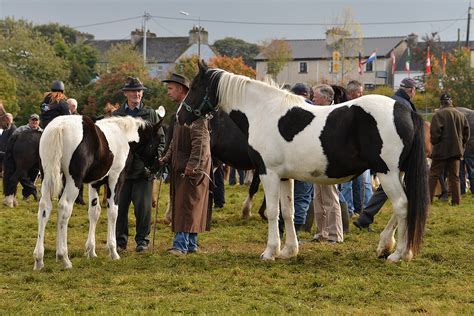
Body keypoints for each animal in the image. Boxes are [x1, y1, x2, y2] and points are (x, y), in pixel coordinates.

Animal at [33, 115, 163, 270]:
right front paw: (113, 252)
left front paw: (91, 251)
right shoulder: (116, 179)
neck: (123, 135)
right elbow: (113, 212)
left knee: (44, 208)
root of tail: (60, 126)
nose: (157, 166)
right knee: (64, 208)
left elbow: (94, 212)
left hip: (47, 177)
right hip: (73, 181)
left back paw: (39, 259)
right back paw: (64, 257)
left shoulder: (94, 184)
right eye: (158, 140)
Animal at [177, 61, 430, 262]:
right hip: (397, 173)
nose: (180, 115)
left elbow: (272, 211)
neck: (263, 111)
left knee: (402, 206)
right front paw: (289, 250)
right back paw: (388, 247)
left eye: (195, 87)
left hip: (387, 172)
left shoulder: (267, 173)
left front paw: (269, 252)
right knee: (404, 206)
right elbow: (288, 211)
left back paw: (398, 254)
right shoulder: (284, 177)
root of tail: (405, 110)